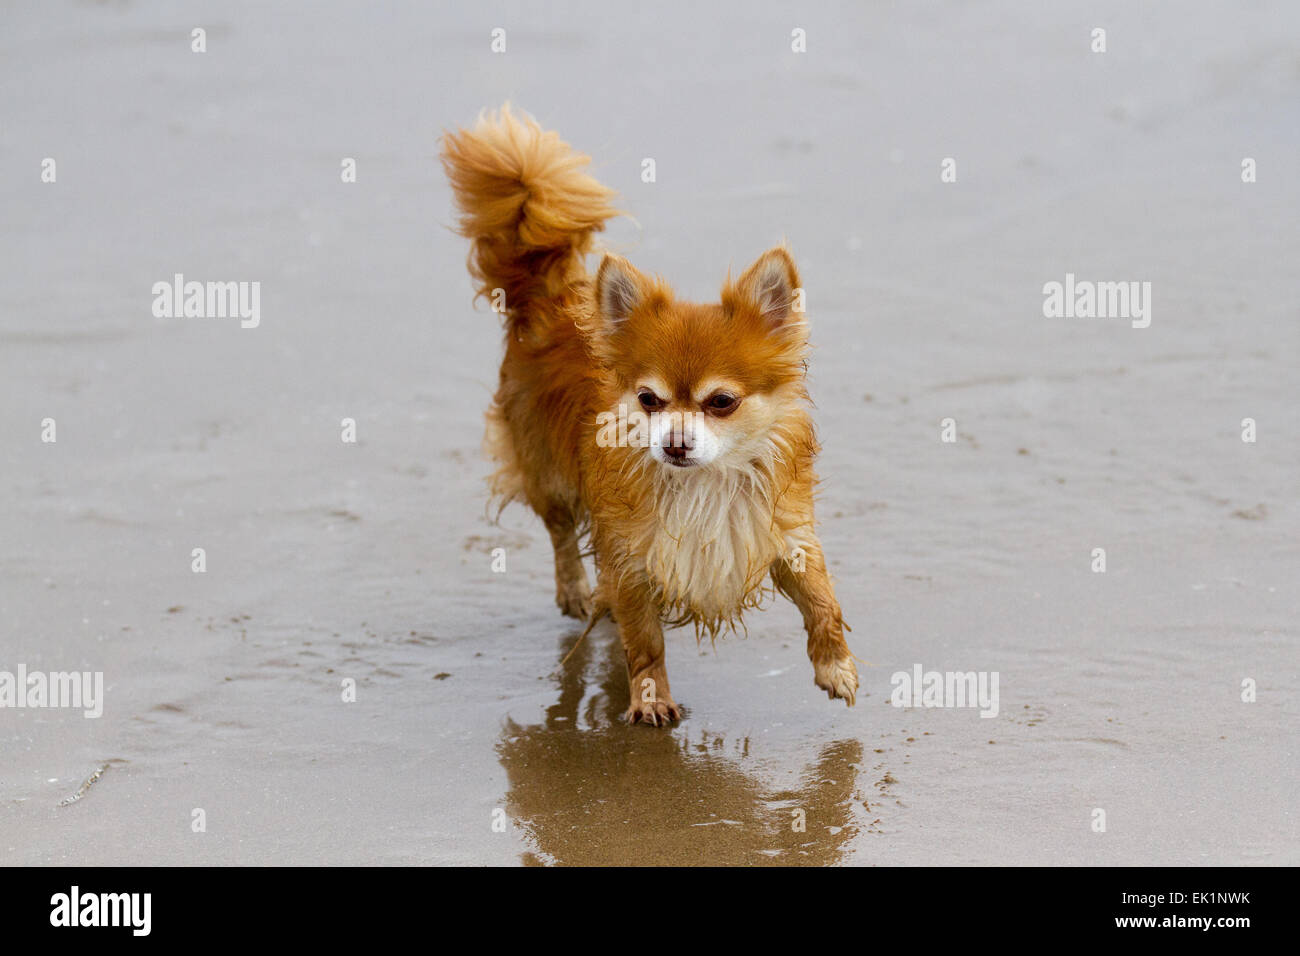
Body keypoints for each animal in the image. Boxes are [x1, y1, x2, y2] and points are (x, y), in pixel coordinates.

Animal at [441, 106, 857, 723]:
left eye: (721, 402)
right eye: (649, 400)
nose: (675, 442)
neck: (704, 485)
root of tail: (547, 299)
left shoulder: (782, 530)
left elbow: (822, 598)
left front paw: (835, 665)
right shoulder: (631, 556)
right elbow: (645, 638)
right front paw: (650, 696)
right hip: (547, 471)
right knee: (560, 532)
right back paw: (575, 589)